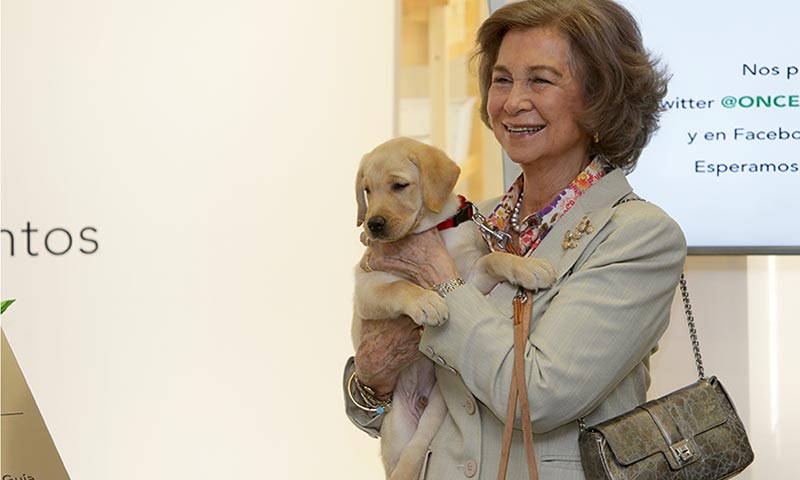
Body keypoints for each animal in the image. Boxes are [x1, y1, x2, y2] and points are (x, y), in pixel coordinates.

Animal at [354, 137, 560, 478]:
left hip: (436, 411)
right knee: (402, 460)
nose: (373, 225)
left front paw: (528, 266)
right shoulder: (368, 286)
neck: (432, 230)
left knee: (417, 448)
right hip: (396, 426)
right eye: (367, 190)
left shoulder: (467, 278)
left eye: (399, 185)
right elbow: (401, 287)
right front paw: (426, 302)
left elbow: (494, 259)